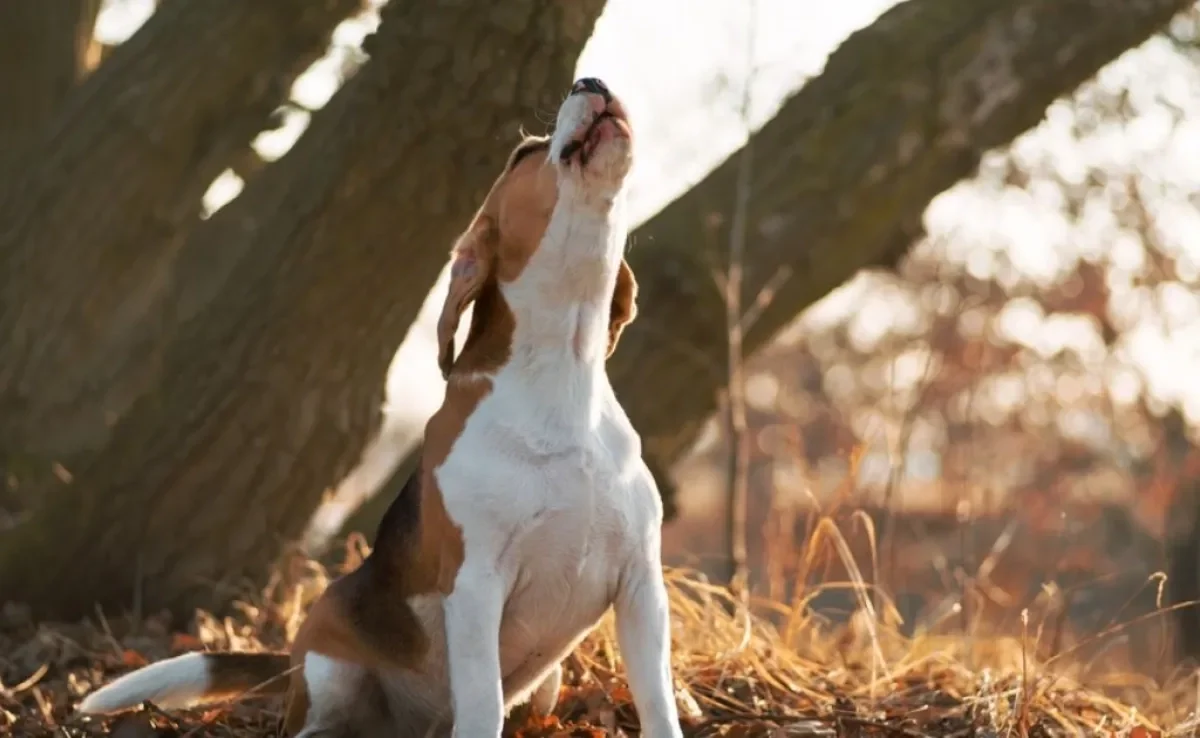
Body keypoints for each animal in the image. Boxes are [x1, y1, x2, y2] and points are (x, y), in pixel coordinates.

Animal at [79, 79, 686, 738]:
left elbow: (658, 702)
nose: (591, 82)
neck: (564, 374)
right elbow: (482, 704)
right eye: (524, 154)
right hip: (330, 662)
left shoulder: (642, 587)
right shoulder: (476, 584)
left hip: (545, 686)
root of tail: (292, 661)